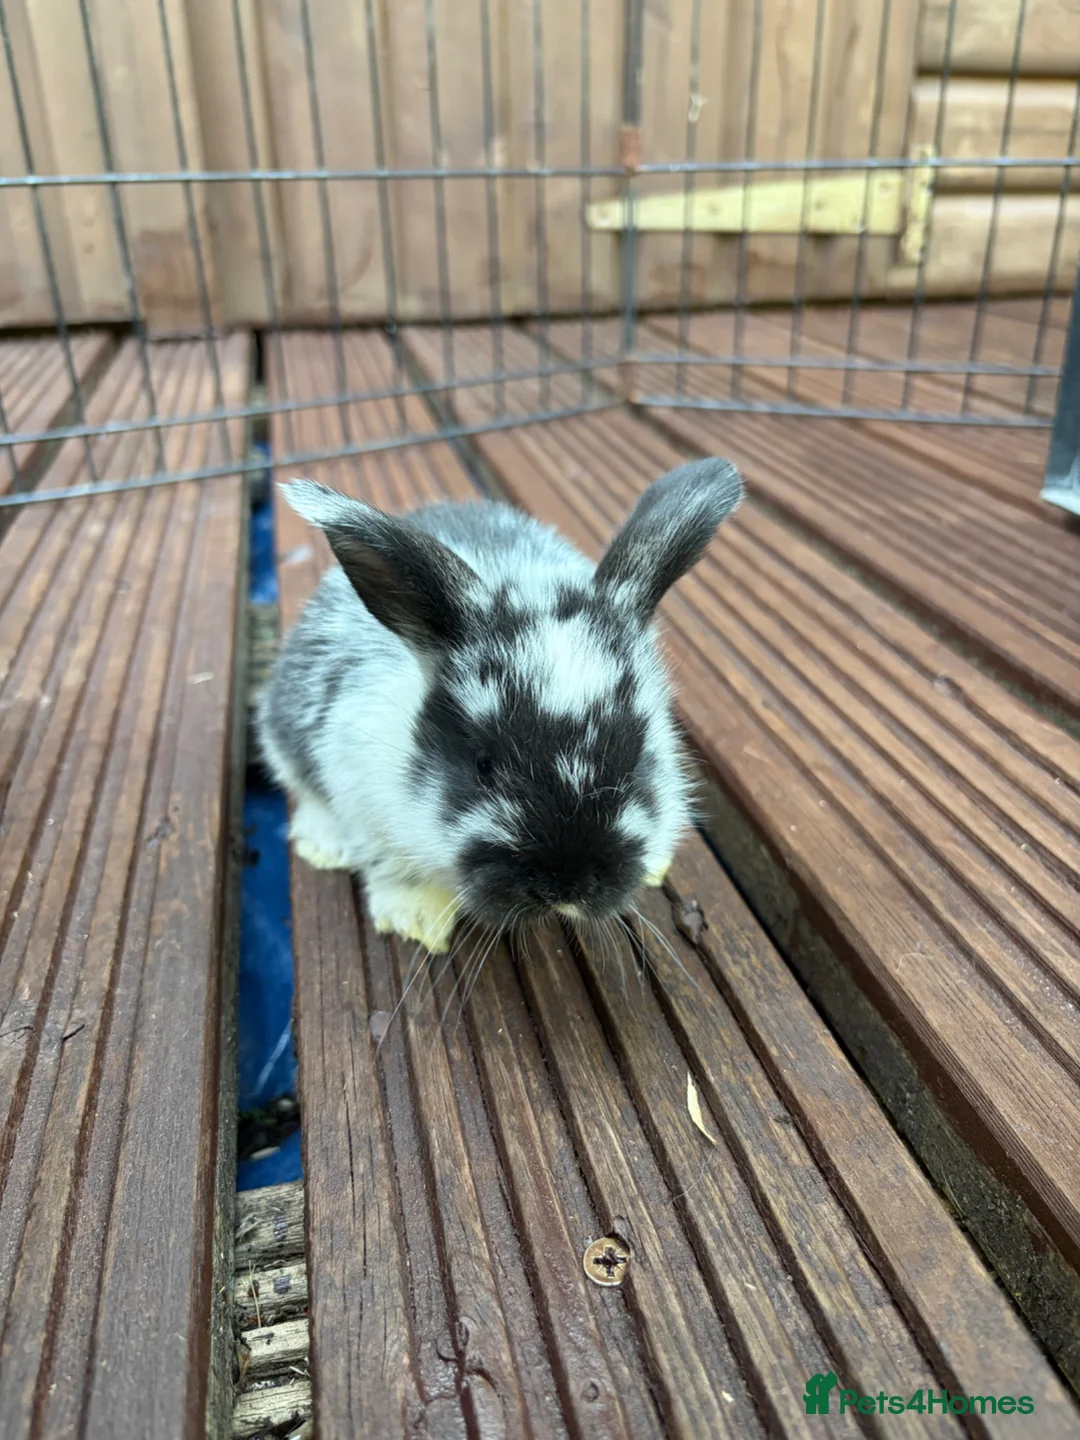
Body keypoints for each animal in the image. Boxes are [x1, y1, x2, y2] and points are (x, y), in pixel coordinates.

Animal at [257, 457, 743, 953]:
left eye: (636, 762)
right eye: (484, 766)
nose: (564, 889)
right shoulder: (360, 785)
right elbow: (392, 863)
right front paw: (416, 921)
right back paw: (323, 848)